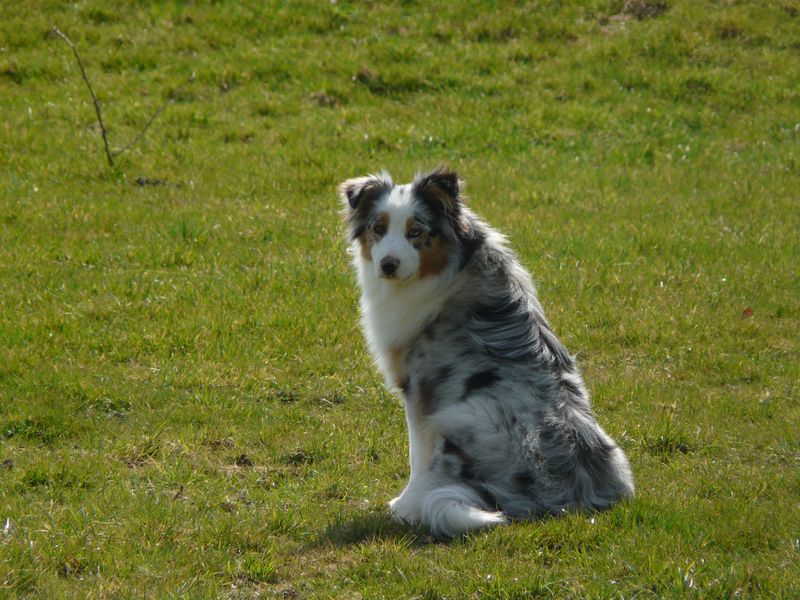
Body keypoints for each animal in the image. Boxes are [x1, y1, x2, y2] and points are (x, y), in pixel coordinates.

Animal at [338, 168, 632, 540]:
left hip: (463, 415)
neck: (451, 266)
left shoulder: (422, 391)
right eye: (378, 228)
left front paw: (405, 505)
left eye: (416, 232)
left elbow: (417, 455)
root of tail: (568, 497)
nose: (388, 265)